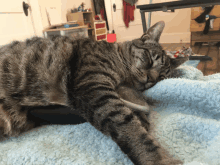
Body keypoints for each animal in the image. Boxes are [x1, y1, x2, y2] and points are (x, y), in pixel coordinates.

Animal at [0, 21, 188, 164]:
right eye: (149, 59)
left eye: (161, 77)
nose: (151, 78)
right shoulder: (93, 87)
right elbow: (131, 129)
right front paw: (159, 159)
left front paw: (141, 115)